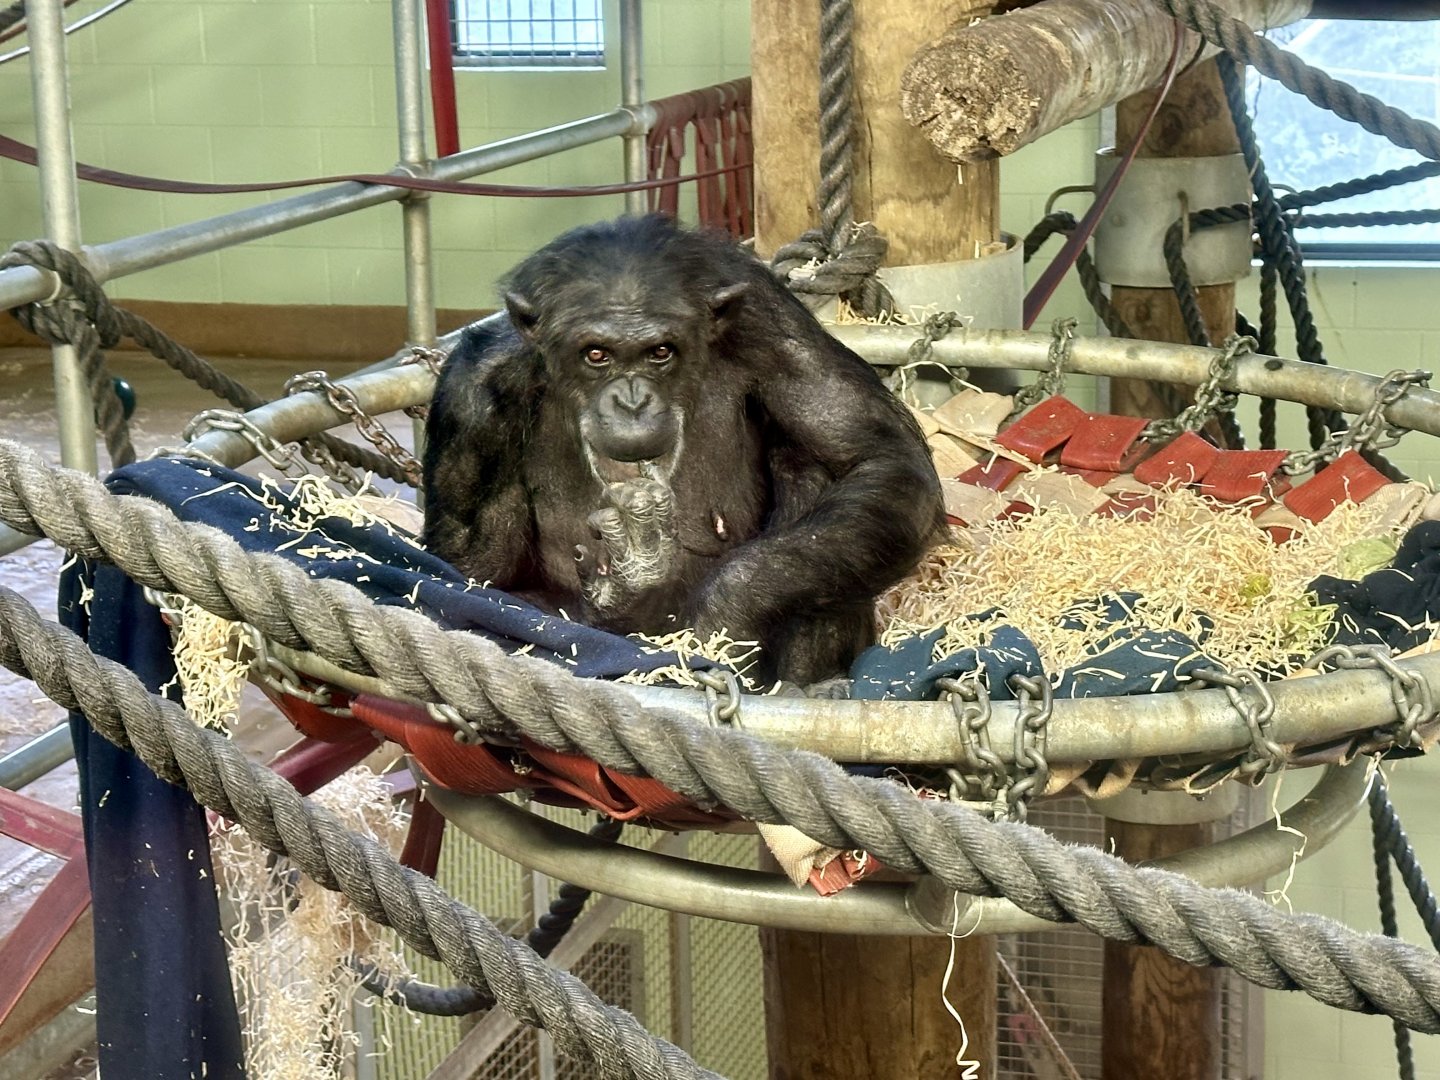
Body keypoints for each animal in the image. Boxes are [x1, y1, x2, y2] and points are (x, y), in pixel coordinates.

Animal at [422, 214, 945, 687]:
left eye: (659, 352)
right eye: (596, 355)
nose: (632, 400)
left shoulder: (775, 329)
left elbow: (880, 459)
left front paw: (726, 614)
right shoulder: (474, 395)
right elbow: (468, 582)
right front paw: (632, 587)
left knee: (814, 470)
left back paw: (814, 686)